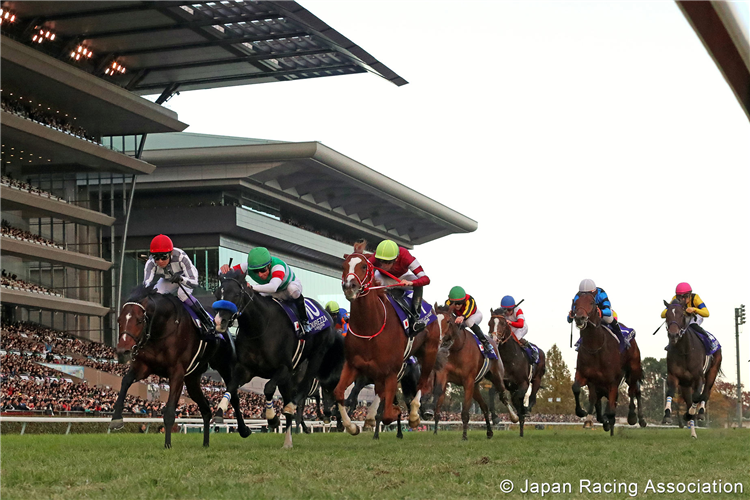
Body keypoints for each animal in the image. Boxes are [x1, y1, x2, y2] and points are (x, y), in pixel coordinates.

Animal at [111, 286, 244, 450]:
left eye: (139, 320)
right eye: (119, 320)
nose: (122, 352)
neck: (162, 328)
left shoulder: (177, 373)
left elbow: (169, 412)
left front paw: (168, 444)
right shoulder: (144, 367)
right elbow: (125, 381)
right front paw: (116, 418)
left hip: (225, 367)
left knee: (234, 396)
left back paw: (244, 430)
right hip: (192, 379)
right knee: (206, 409)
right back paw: (206, 442)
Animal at [212, 272, 334, 448]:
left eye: (236, 294)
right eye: (217, 294)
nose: (219, 322)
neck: (259, 327)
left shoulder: (284, 368)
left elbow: (268, 388)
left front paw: (272, 418)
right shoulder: (245, 369)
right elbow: (231, 387)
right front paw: (220, 411)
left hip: (316, 355)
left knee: (303, 388)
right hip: (287, 381)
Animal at [334, 254, 440, 438]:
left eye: (363, 266)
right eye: (343, 266)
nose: (349, 287)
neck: (370, 328)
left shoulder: (390, 372)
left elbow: (388, 413)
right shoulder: (354, 365)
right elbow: (340, 393)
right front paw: (352, 426)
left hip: (428, 353)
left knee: (422, 384)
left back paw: (414, 415)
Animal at [428, 304, 516, 442]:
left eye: (448, 321)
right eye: (435, 321)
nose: (438, 338)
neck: (457, 347)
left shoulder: (468, 381)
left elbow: (465, 411)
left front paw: (464, 436)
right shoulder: (443, 375)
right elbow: (438, 397)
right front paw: (434, 426)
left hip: (496, 376)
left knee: (503, 395)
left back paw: (512, 417)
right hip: (475, 387)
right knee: (484, 406)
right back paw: (489, 432)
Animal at [664, 298, 724, 436]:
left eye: (682, 315)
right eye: (667, 316)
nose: (673, 335)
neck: (684, 350)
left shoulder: (698, 378)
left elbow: (697, 396)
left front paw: (690, 414)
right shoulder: (673, 376)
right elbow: (670, 392)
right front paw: (667, 415)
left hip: (712, 372)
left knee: (706, 392)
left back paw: (700, 413)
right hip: (686, 384)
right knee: (690, 401)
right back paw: (693, 433)